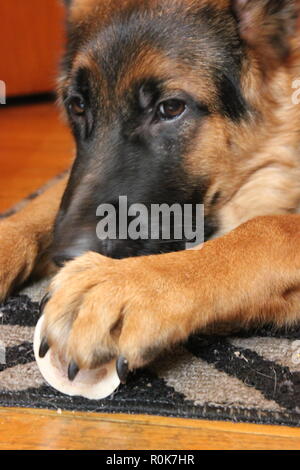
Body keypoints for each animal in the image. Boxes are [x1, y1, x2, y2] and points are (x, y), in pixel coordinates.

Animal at [0, 0, 300, 382]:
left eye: (170, 108)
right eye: (77, 105)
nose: (66, 256)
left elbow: (269, 227)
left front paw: (130, 285)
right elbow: (43, 202)